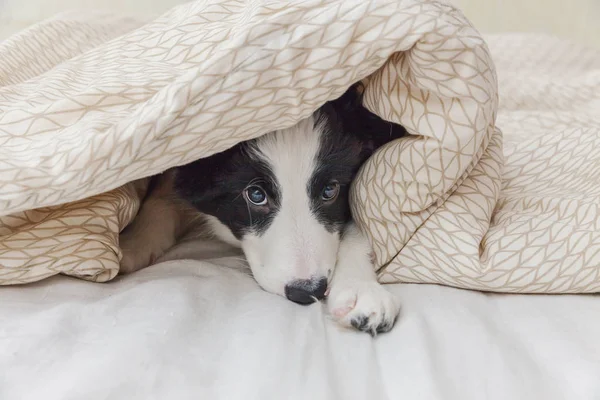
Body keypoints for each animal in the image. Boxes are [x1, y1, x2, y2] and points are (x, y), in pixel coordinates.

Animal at [119, 84, 406, 334]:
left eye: (330, 190)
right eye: (256, 195)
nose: (306, 291)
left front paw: (362, 290)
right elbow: (164, 192)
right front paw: (133, 243)